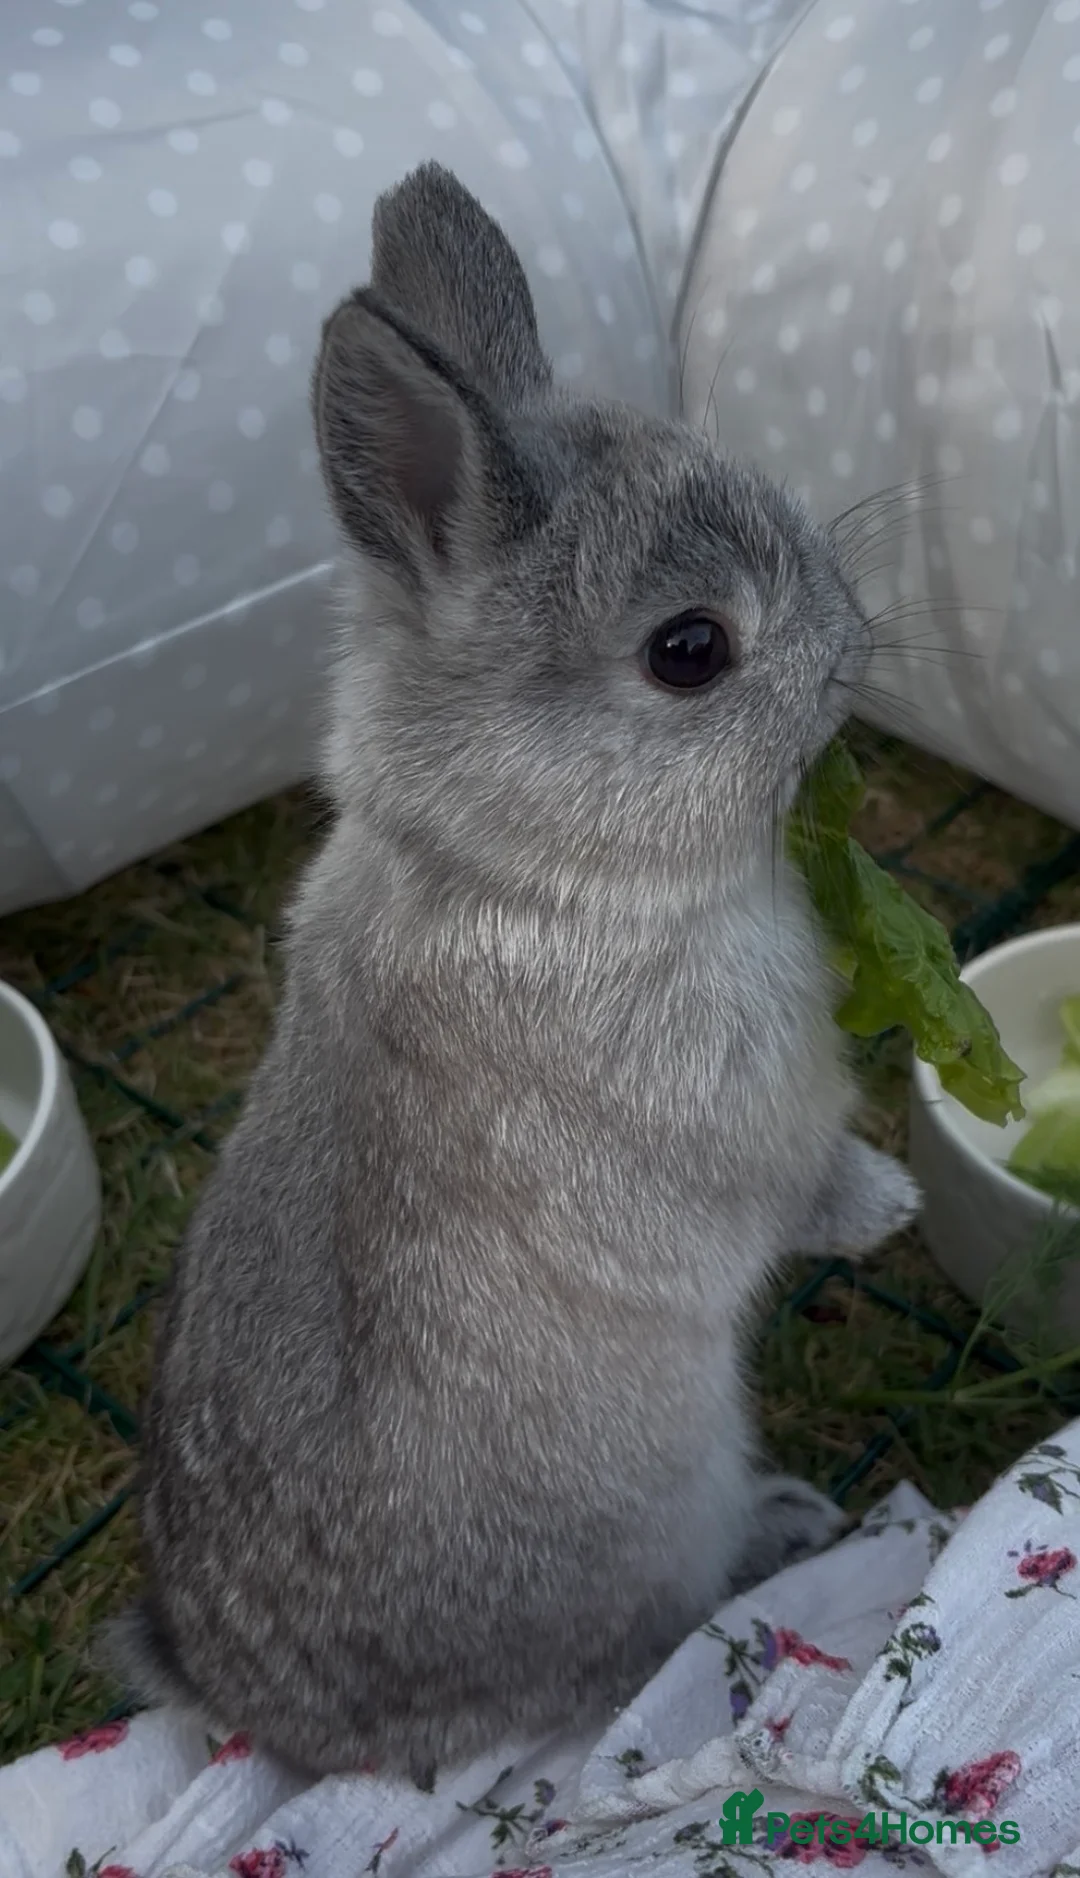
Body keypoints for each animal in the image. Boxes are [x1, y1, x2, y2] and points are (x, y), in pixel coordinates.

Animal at [110, 162, 919, 1788]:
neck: (530, 870)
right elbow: (793, 1185)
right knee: (629, 1656)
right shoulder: (730, 1113)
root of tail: (263, 1713)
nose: (854, 655)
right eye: (691, 649)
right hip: (651, 1522)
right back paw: (784, 1535)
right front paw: (891, 1207)